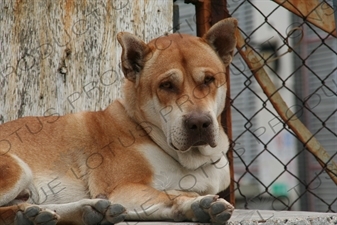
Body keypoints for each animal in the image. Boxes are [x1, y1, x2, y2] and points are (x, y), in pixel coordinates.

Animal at [0, 18, 236, 225]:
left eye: (208, 80)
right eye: (166, 85)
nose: (199, 123)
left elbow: (172, 197)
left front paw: (200, 206)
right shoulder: (122, 189)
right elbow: (170, 194)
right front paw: (195, 202)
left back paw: (82, 211)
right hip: (18, 169)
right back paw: (25, 215)